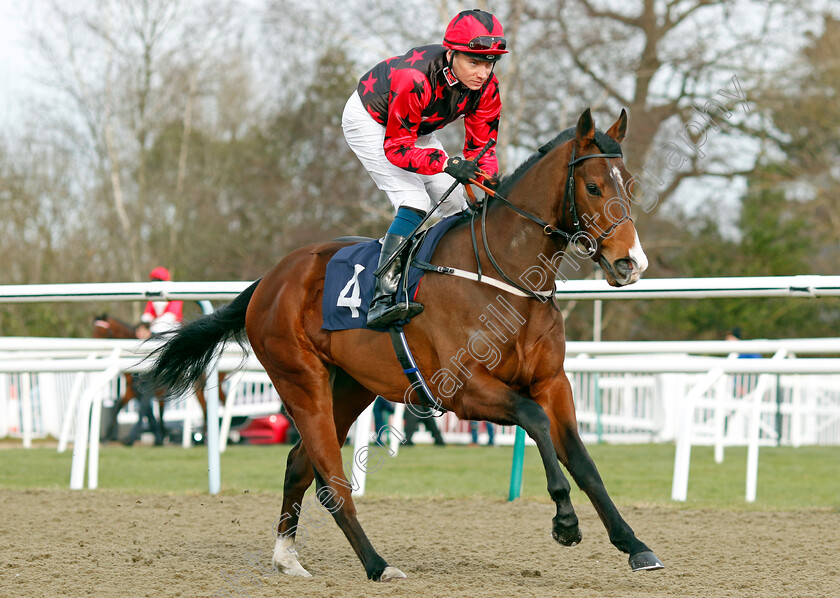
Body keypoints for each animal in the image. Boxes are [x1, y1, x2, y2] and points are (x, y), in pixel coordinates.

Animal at [149, 109, 664, 580]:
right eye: (593, 187)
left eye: (629, 185)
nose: (630, 263)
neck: (507, 277)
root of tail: (270, 279)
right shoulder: (464, 388)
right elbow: (535, 420)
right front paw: (565, 519)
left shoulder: (553, 382)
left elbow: (583, 459)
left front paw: (635, 544)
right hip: (301, 381)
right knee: (330, 481)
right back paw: (377, 565)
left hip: (351, 386)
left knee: (298, 464)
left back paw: (288, 558)